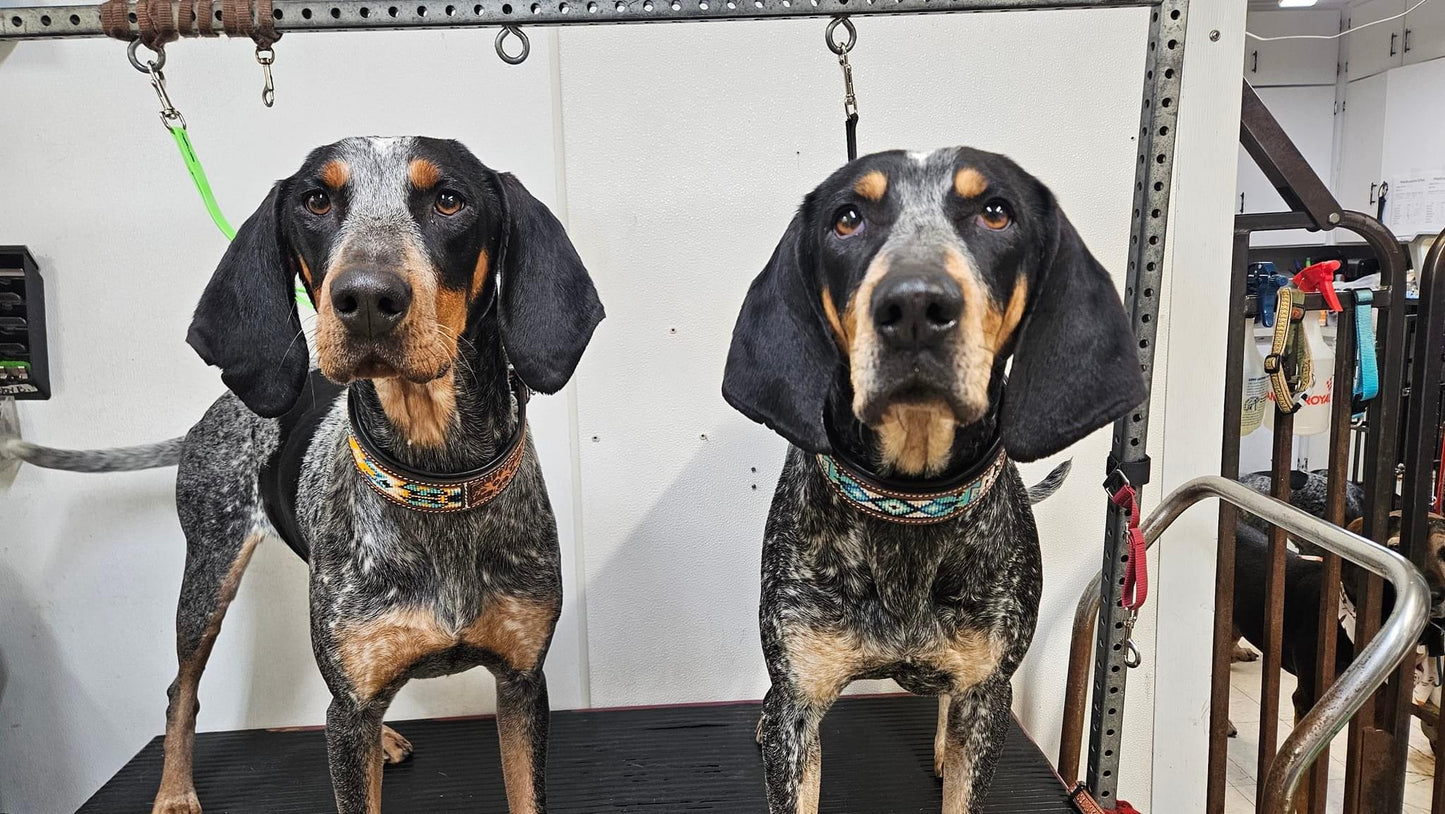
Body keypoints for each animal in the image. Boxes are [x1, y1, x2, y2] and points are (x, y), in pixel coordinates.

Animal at [0, 138, 598, 814]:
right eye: (316, 201)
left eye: (450, 200)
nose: (366, 299)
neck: (435, 478)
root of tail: (209, 417)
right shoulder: (353, 704)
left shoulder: (522, 684)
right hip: (208, 580)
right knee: (183, 691)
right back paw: (175, 792)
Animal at [728, 148, 1144, 814]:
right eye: (847, 219)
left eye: (996, 212)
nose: (915, 307)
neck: (909, 503)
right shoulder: (798, 703)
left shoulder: (988, 693)